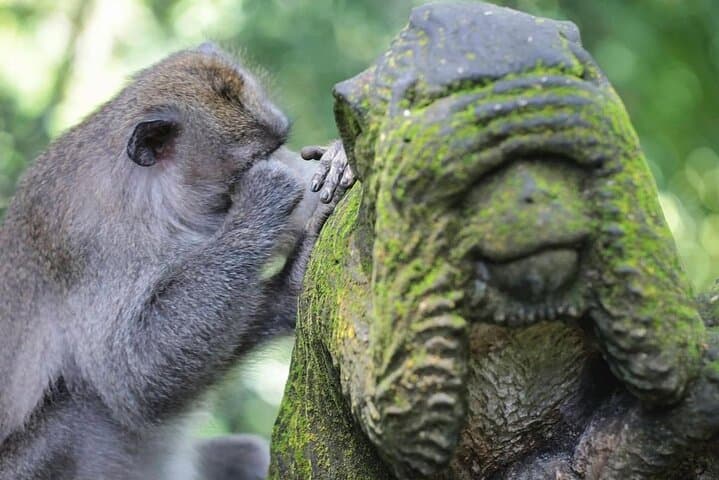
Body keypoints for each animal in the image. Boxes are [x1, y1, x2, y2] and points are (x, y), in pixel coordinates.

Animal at [0, 43, 353, 480]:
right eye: (255, 162)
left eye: (279, 146)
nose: (290, 164)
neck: (153, 197)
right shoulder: (92, 243)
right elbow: (136, 376)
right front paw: (265, 205)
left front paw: (339, 158)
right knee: (79, 411)